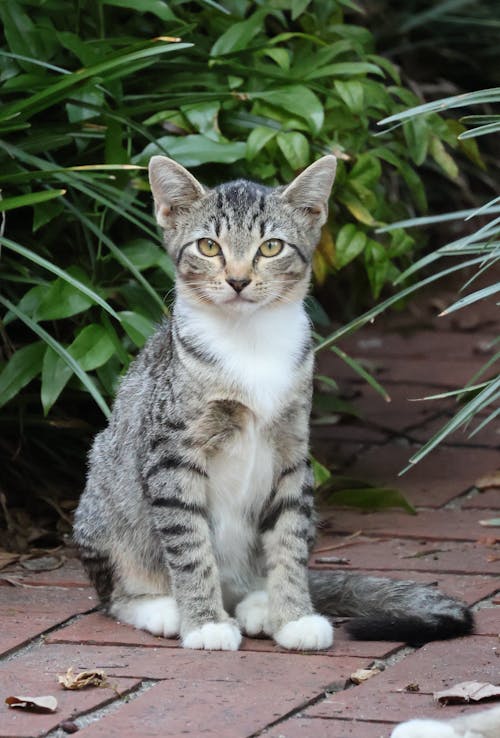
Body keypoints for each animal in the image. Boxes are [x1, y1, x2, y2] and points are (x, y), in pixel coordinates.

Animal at [73, 155, 472, 648]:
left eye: (271, 247)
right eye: (208, 246)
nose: (238, 280)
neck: (250, 342)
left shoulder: (292, 449)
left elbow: (288, 540)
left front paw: (293, 615)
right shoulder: (171, 453)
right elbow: (189, 543)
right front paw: (204, 623)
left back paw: (258, 603)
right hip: (102, 503)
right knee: (115, 593)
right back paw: (163, 608)